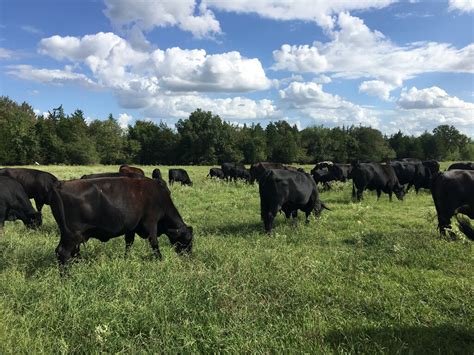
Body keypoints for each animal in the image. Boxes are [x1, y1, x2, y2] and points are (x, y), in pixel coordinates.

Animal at [50, 178, 193, 268]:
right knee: (63, 253)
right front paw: (160, 259)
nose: (190, 257)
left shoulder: (131, 227)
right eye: (188, 240)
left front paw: (126, 258)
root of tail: (61, 184)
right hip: (72, 234)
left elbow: (129, 243)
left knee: (68, 252)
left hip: (72, 235)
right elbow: (154, 243)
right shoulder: (151, 223)